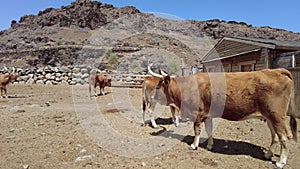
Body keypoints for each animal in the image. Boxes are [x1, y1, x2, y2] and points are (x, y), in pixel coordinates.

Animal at [150, 65, 298, 169]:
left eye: (158, 87)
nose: (151, 97)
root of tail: (277, 71)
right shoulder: (207, 115)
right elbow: (209, 130)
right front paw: (210, 145)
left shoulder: (197, 113)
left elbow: (197, 130)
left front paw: (194, 145)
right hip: (269, 118)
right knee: (275, 137)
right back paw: (268, 154)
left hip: (277, 117)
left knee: (283, 138)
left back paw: (281, 162)